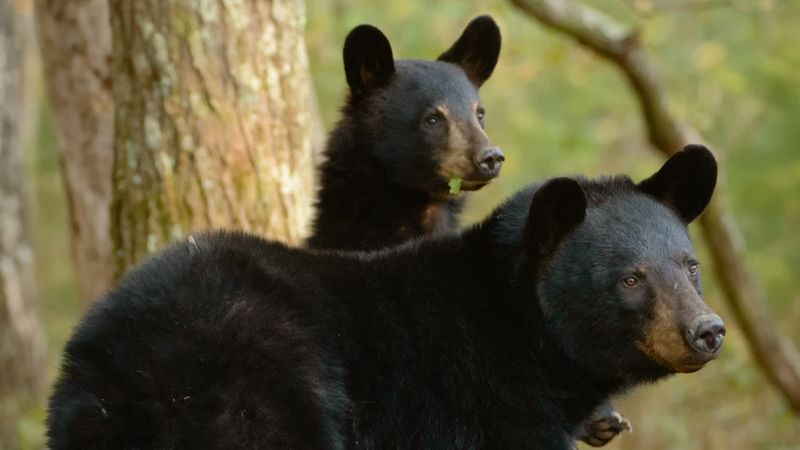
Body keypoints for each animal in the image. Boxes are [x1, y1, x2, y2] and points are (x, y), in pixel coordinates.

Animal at [50, 145, 724, 450]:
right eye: (632, 278)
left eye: (690, 266)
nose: (707, 330)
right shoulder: (479, 401)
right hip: (257, 390)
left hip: (89, 420)